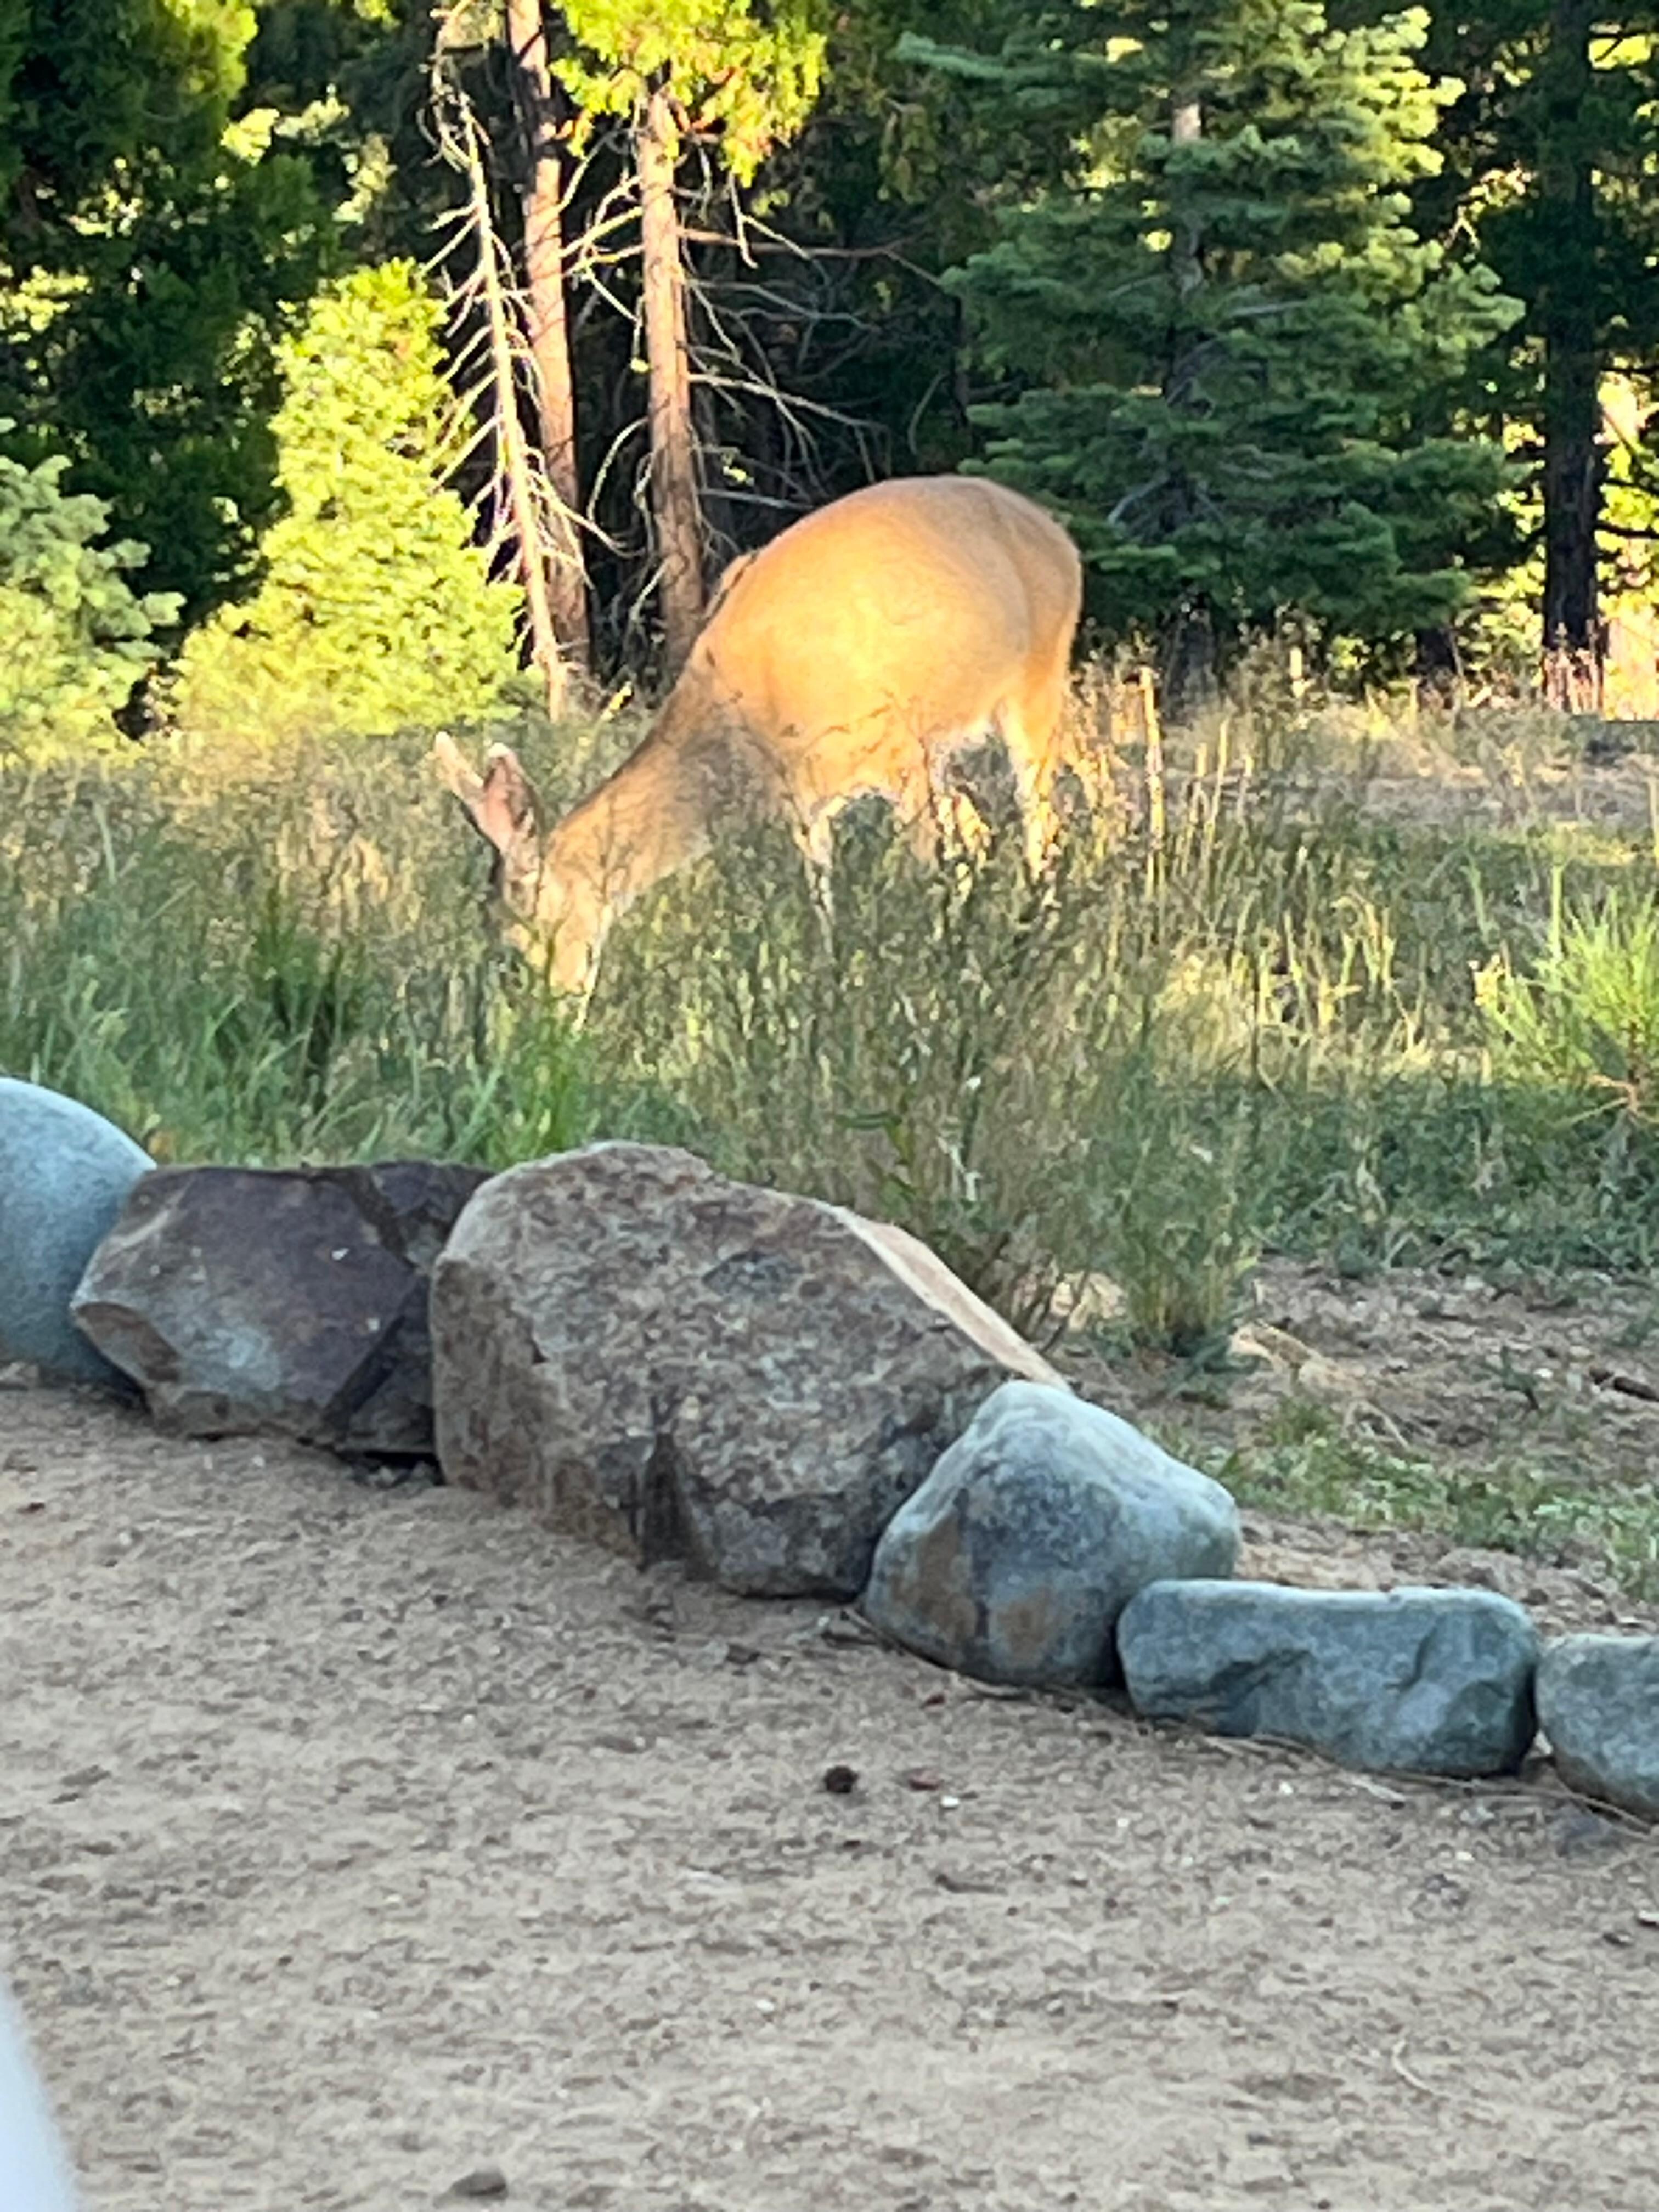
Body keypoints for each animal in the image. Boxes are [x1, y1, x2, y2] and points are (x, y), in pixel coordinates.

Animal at [435, 473, 1084, 997]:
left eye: (517, 945)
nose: (540, 1028)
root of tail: (1061, 538)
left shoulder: (900, 751)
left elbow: (923, 880)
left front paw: (927, 979)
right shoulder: (803, 803)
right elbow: (821, 903)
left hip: (1034, 684)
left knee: (1042, 822)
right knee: (982, 826)